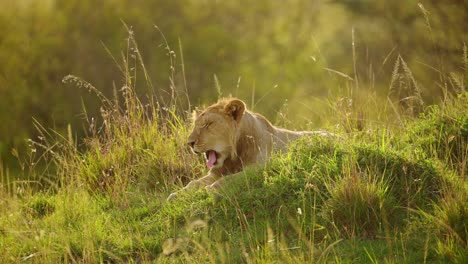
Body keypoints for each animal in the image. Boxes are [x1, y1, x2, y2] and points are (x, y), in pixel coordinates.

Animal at [166, 98, 330, 201]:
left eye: (208, 124)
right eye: (195, 125)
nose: (189, 143)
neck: (233, 157)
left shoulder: (258, 168)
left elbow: (229, 179)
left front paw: (209, 189)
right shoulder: (215, 173)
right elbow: (193, 184)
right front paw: (176, 195)